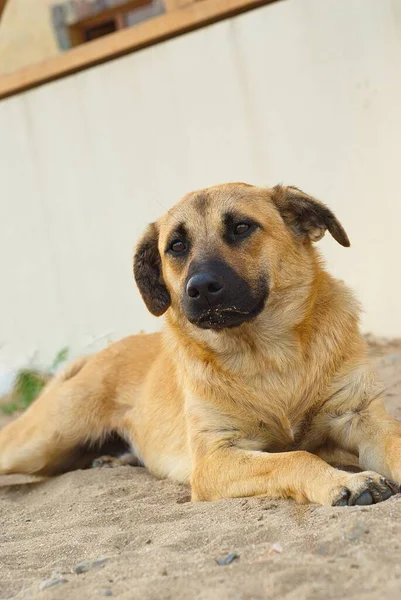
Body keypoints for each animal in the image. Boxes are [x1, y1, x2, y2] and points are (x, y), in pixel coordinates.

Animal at [0, 184, 400, 506]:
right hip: (42, 440)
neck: (267, 356)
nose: (202, 287)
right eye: (176, 246)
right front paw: (344, 483)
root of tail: (97, 355)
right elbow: (296, 457)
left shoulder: (358, 417)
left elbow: (391, 440)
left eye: (241, 227)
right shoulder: (214, 458)